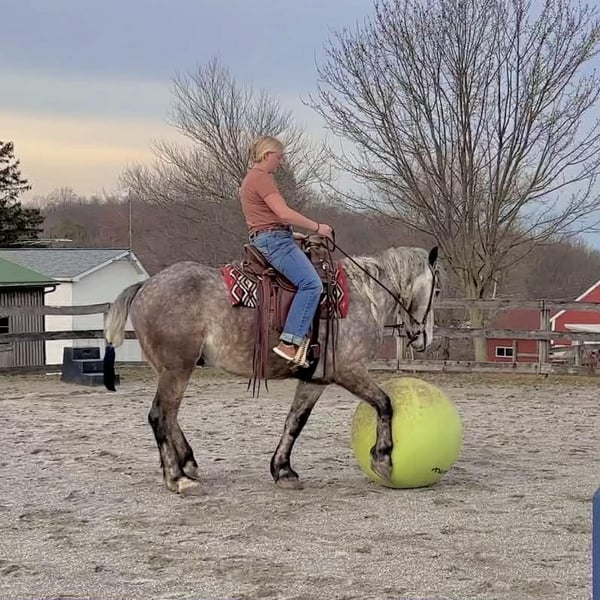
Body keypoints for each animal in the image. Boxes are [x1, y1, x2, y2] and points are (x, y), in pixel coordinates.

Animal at [102, 242, 441, 495]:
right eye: (436, 290)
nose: (424, 337)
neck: (362, 297)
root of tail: (145, 284)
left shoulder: (316, 379)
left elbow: (295, 422)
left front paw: (283, 470)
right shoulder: (350, 372)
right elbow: (385, 404)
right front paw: (383, 457)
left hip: (171, 370)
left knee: (170, 416)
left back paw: (187, 463)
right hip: (177, 370)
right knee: (160, 415)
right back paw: (177, 478)